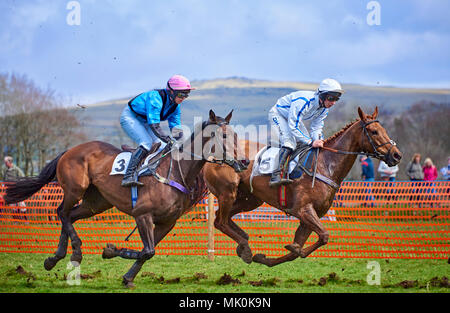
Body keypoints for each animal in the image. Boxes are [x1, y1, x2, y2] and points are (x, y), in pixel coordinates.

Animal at [5, 109, 246, 288]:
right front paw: (110, 251)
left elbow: (148, 252)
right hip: (75, 190)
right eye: (224, 136)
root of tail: (69, 150)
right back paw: (74, 251)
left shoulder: (167, 223)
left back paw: (57, 257)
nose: (244, 162)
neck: (176, 172)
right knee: (61, 212)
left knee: (69, 216)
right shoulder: (142, 215)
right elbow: (148, 250)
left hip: (96, 204)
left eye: (236, 135)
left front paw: (127, 277)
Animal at [204, 107, 400, 266]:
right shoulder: (303, 210)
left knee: (221, 218)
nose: (396, 155)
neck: (325, 165)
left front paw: (266, 258)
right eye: (374, 131)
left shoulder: (310, 216)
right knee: (220, 221)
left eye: (384, 130)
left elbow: (300, 249)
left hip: (250, 200)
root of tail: (212, 156)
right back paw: (244, 246)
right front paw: (292, 248)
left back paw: (243, 243)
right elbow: (323, 236)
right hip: (228, 193)